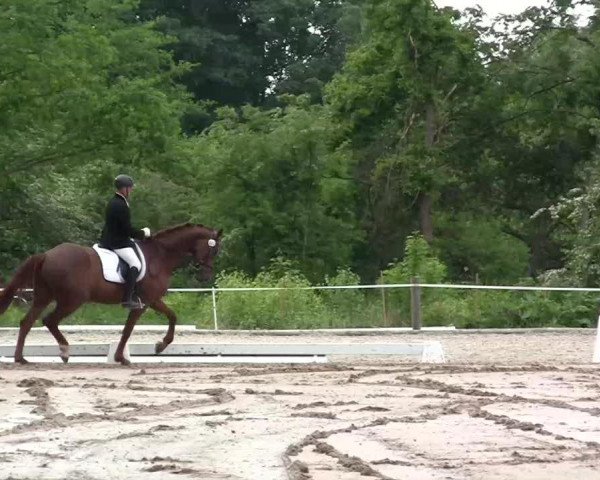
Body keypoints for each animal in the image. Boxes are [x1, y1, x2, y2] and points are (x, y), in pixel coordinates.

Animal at [0, 224, 221, 364]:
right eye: (214, 250)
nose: (207, 276)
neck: (160, 255)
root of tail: (47, 254)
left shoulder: (153, 300)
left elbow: (172, 316)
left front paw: (160, 346)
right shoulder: (143, 302)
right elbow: (128, 330)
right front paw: (121, 358)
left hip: (44, 297)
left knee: (27, 322)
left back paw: (20, 358)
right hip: (72, 300)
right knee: (49, 321)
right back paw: (64, 351)